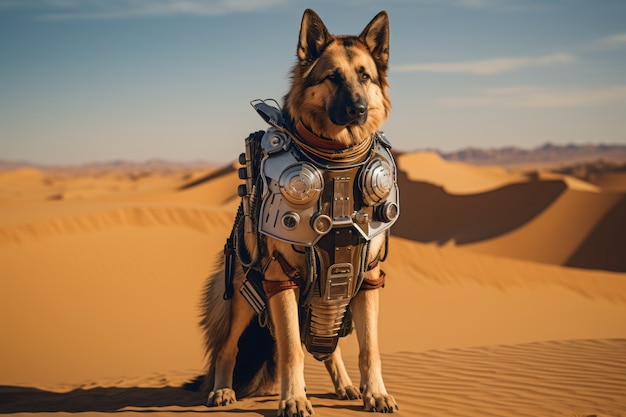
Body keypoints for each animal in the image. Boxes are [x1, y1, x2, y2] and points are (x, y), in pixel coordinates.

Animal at [200, 9, 394, 416]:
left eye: (364, 76)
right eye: (332, 76)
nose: (358, 109)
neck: (336, 159)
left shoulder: (370, 277)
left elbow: (369, 349)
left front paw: (375, 393)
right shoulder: (279, 279)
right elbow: (291, 350)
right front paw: (293, 399)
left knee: (327, 344)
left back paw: (346, 386)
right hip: (242, 295)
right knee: (228, 348)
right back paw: (222, 390)